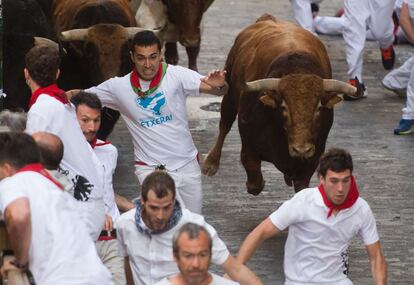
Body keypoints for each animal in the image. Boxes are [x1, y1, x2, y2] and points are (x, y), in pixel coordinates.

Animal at [202, 15, 358, 193]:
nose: (301, 149)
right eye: (283, 107)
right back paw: (210, 163)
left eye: (319, 108)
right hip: (229, 95)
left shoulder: (311, 161)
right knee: (224, 124)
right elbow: (255, 183)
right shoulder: (248, 149)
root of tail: (268, 18)